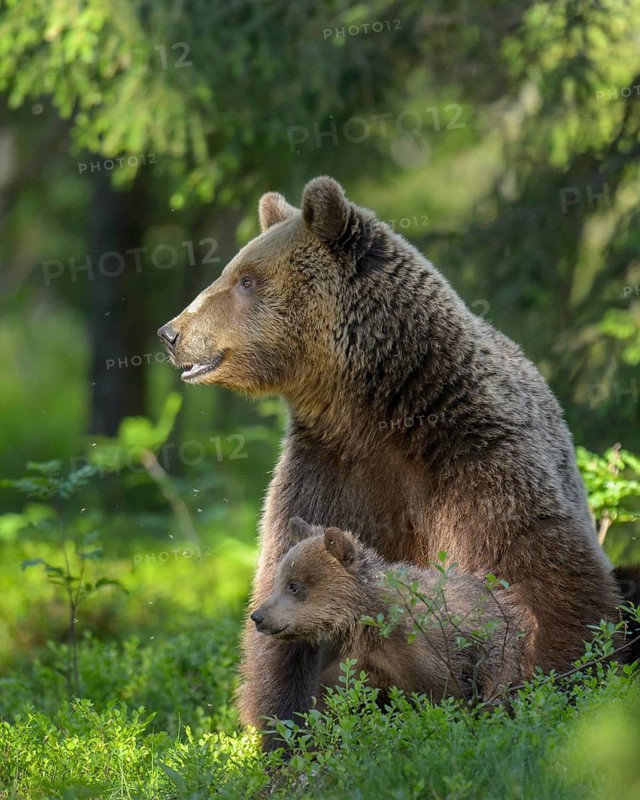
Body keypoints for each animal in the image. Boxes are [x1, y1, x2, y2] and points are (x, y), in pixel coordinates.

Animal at [251, 517, 525, 707]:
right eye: (278, 581)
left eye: (294, 586)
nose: (258, 616)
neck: (360, 623)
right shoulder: (344, 660)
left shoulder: (420, 654)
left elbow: (445, 695)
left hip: (497, 650)